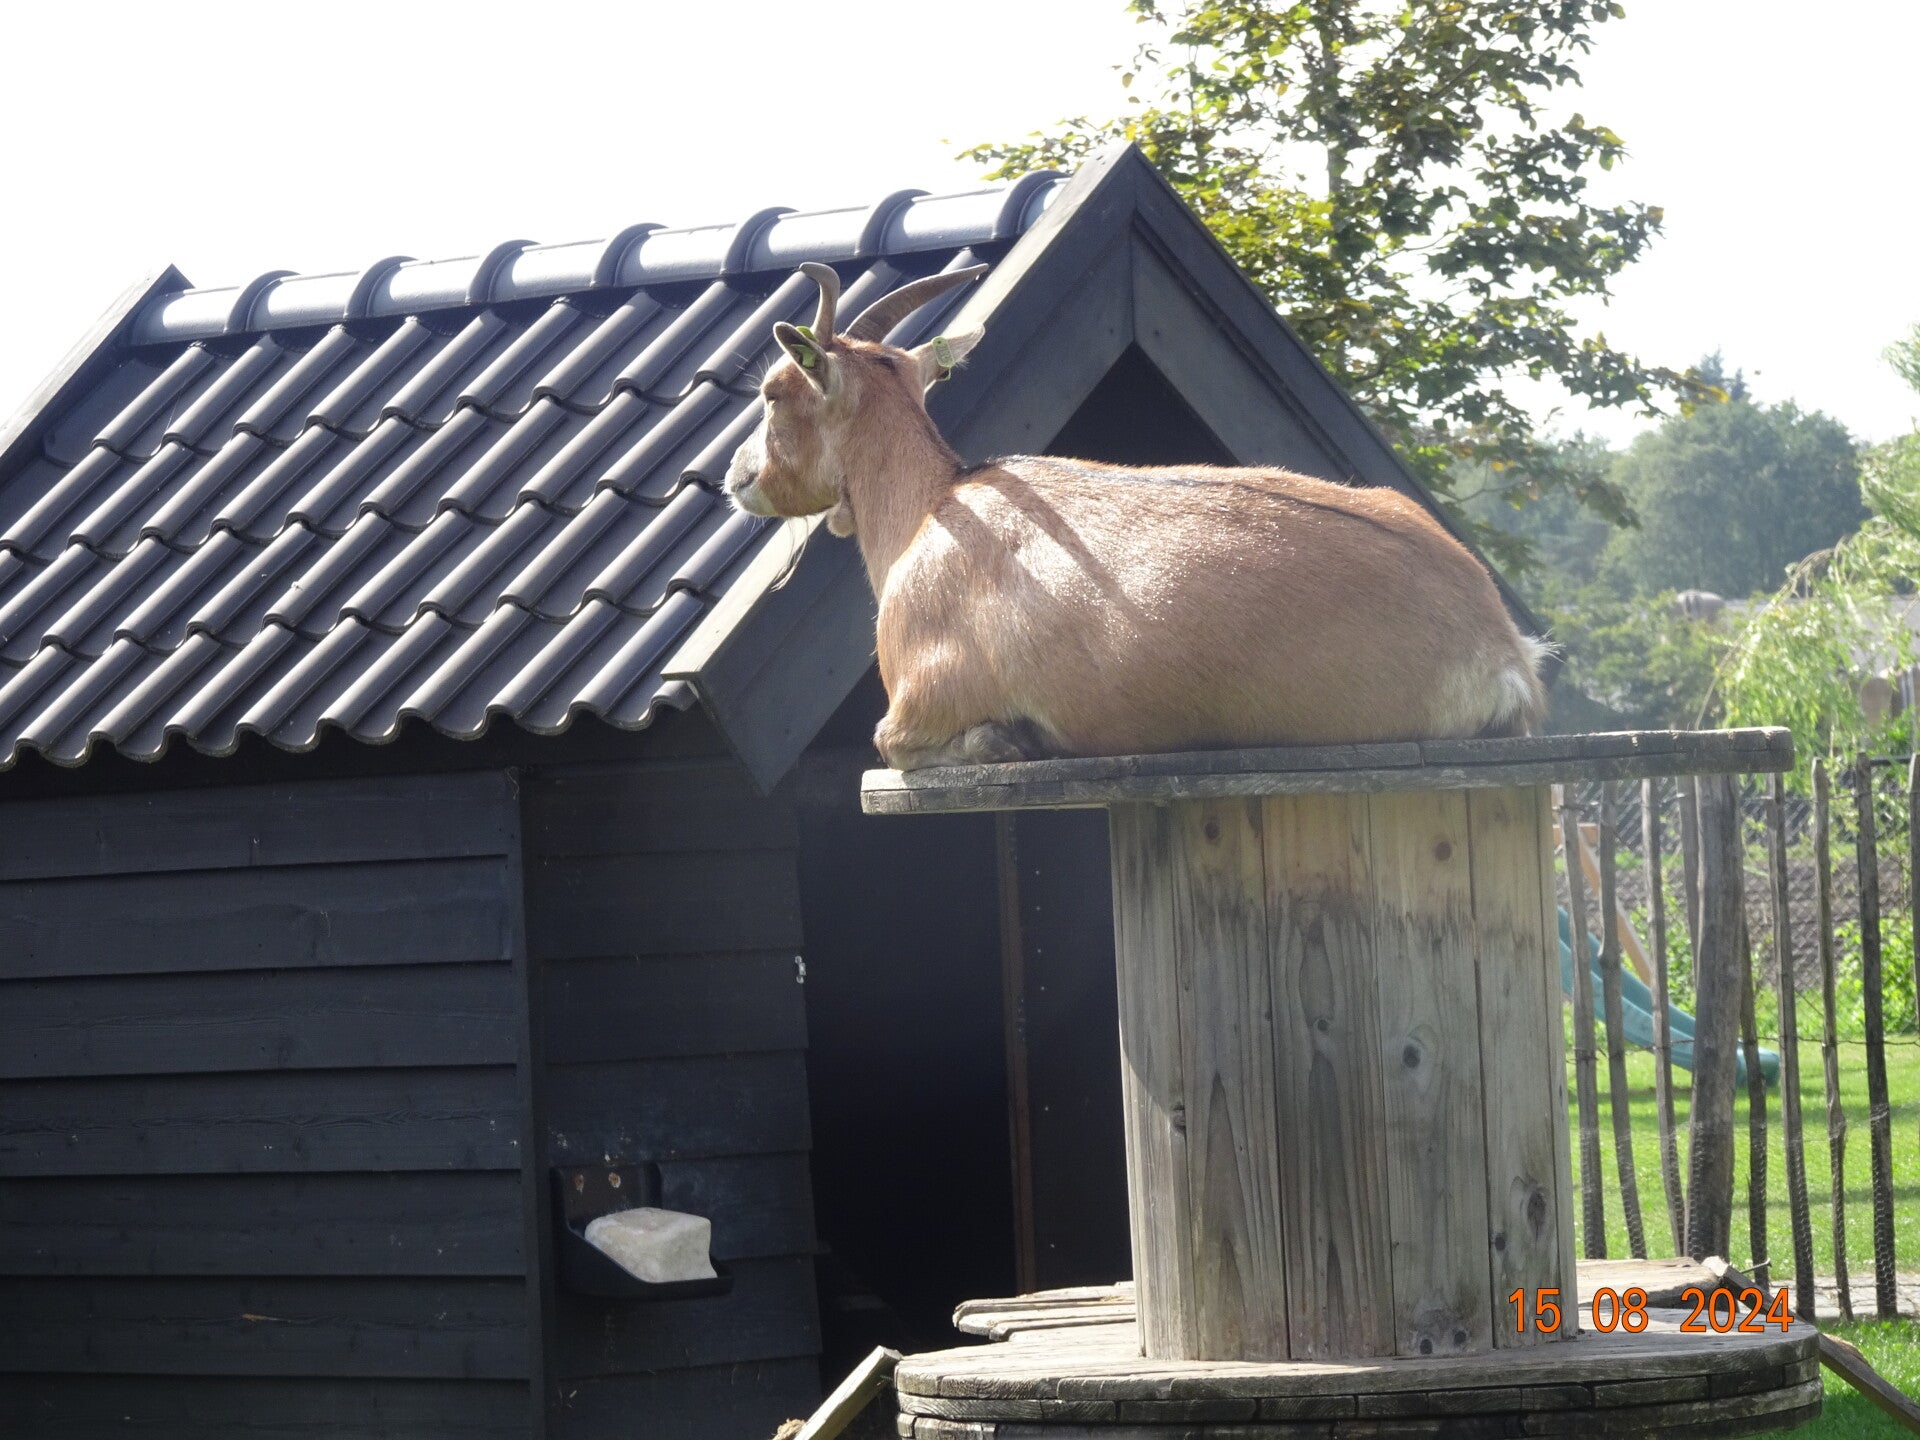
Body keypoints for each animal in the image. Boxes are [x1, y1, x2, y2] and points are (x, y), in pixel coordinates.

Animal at [725, 262, 1549, 770]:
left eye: (772, 391)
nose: (736, 475)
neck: (935, 506)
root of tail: (1501, 647)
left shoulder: (918, 703)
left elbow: (894, 742)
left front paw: (1012, 740)